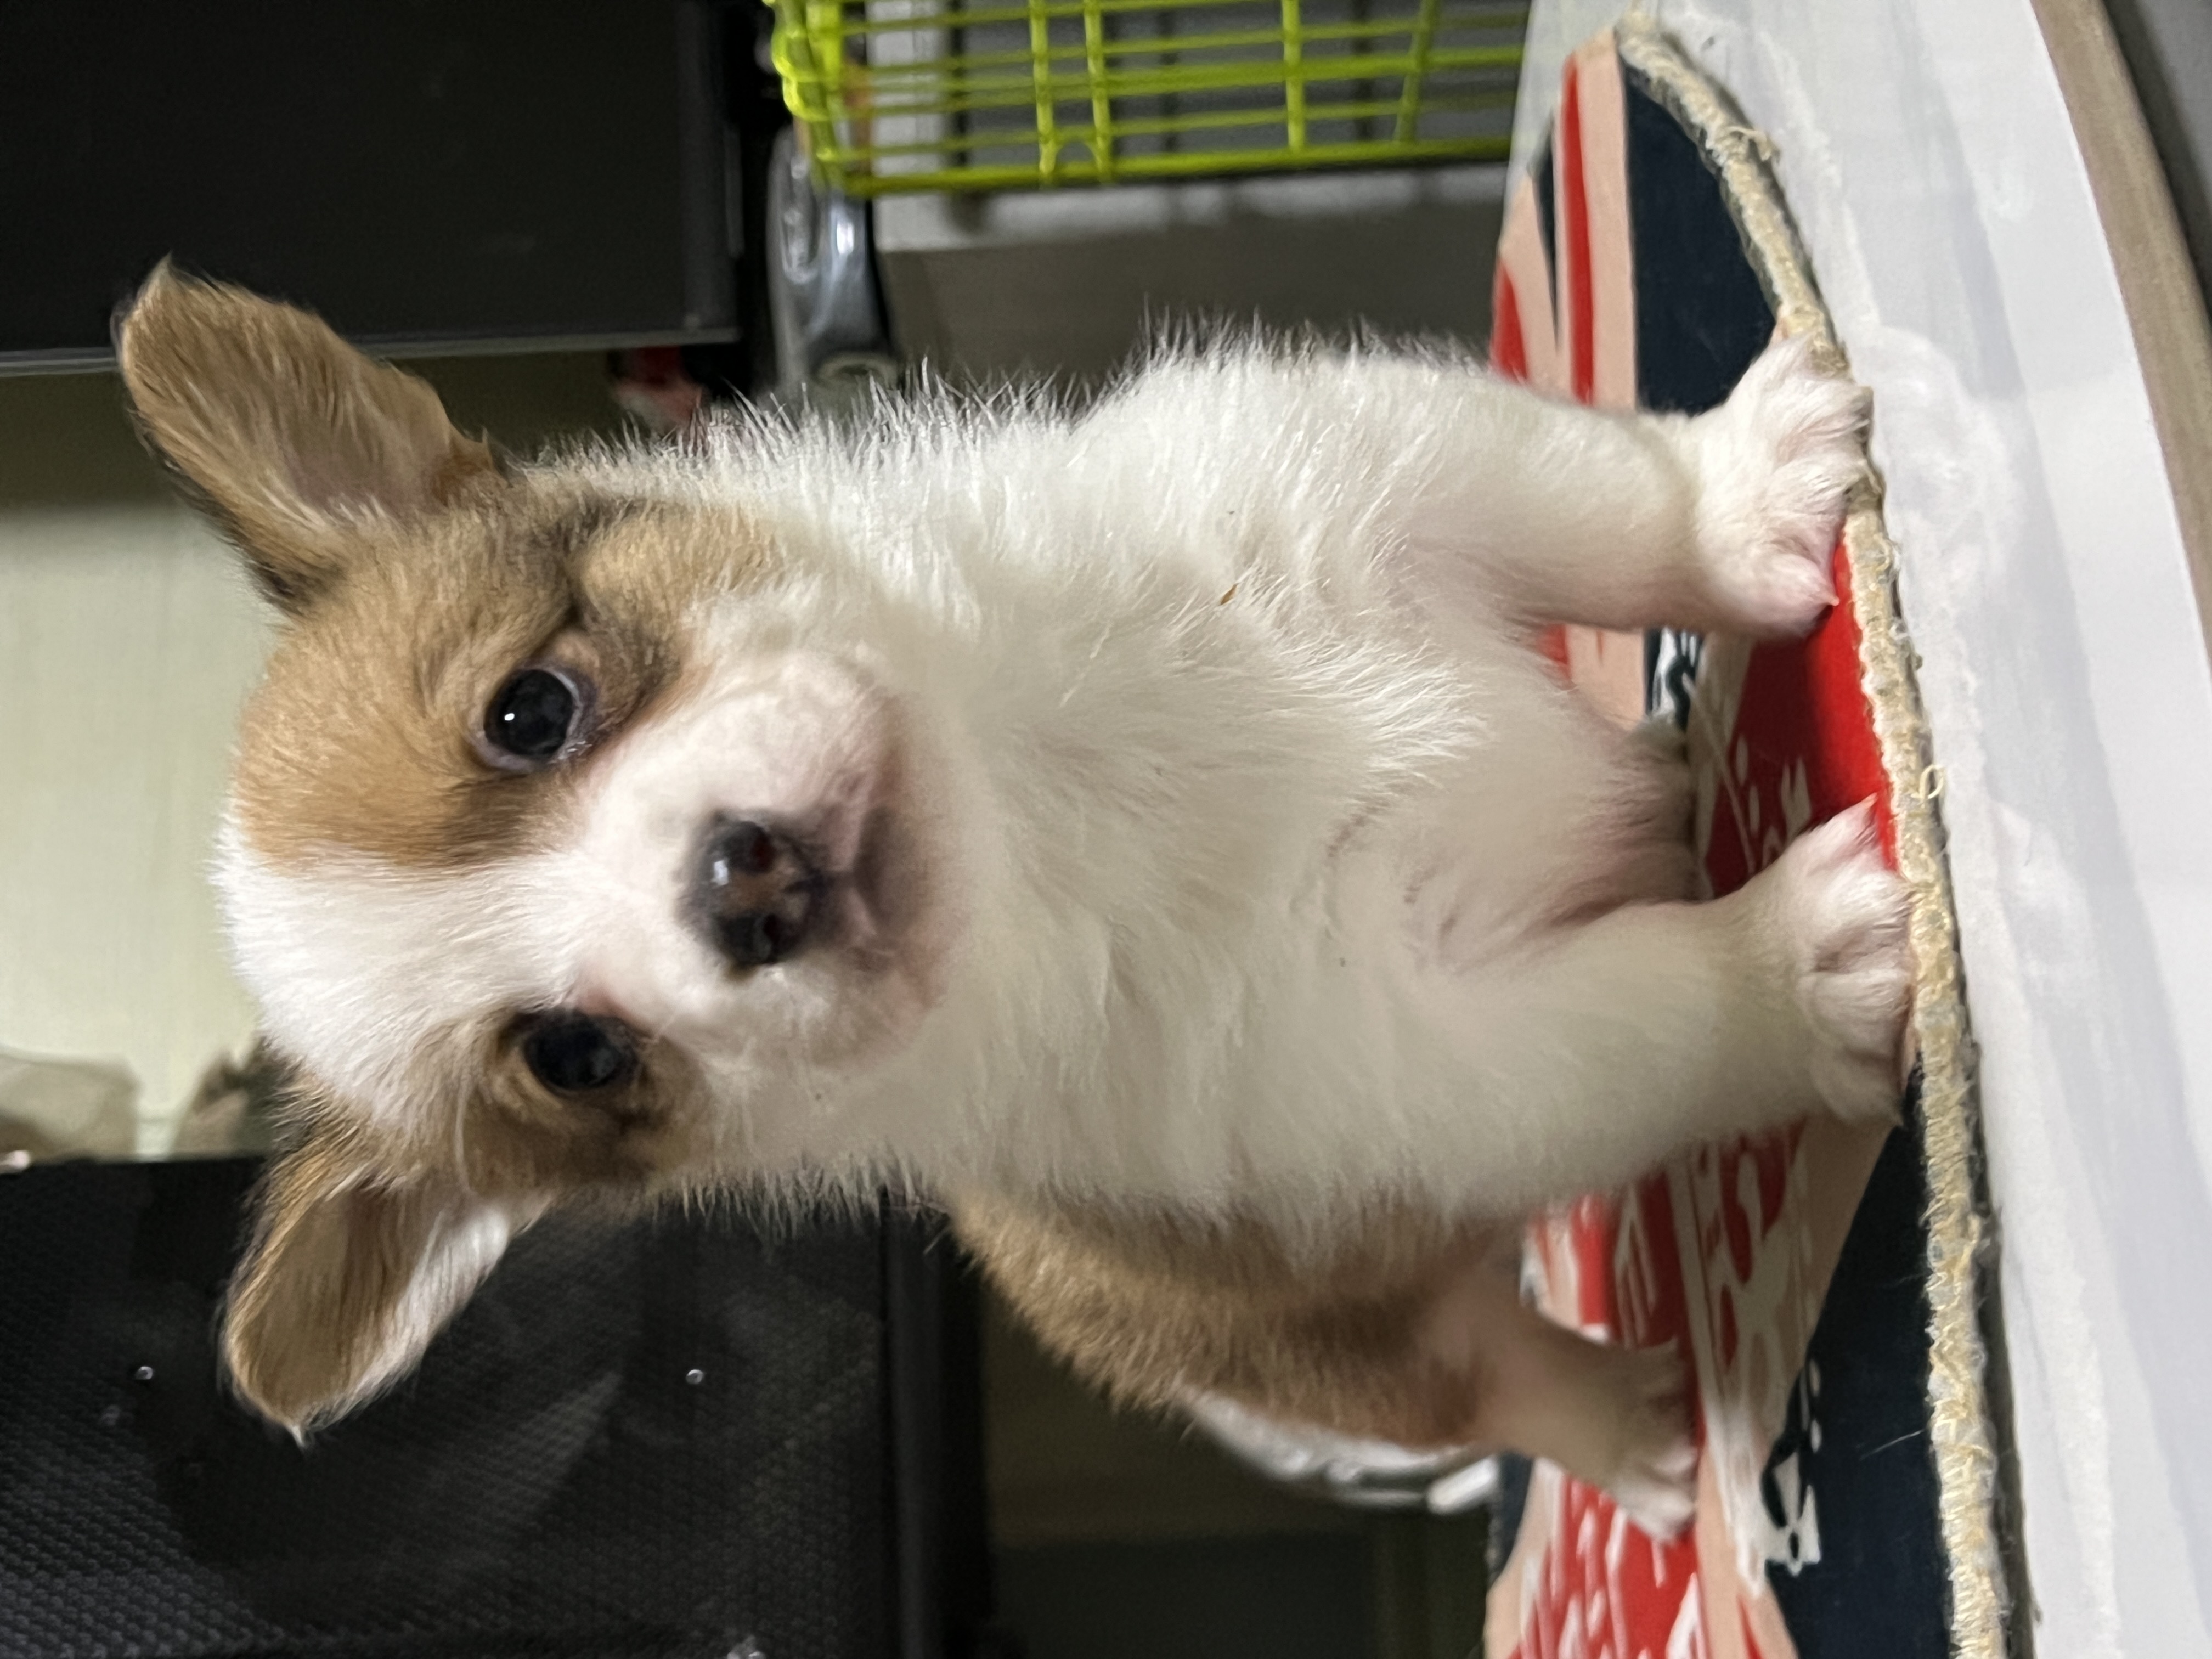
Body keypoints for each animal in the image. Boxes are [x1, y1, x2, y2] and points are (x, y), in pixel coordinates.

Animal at [117, 267, 1906, 1528]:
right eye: (574, 1055)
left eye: (530, 711)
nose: (740, 887)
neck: (1052, 791)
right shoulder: (1396, 1062)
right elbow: (1642, 1028)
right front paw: (1796, 974)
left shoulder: (1379, 460)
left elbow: (1607, 502)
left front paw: (1744, 496)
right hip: (1347, 1349)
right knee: (1482, 1375)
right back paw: (1635, 1432)